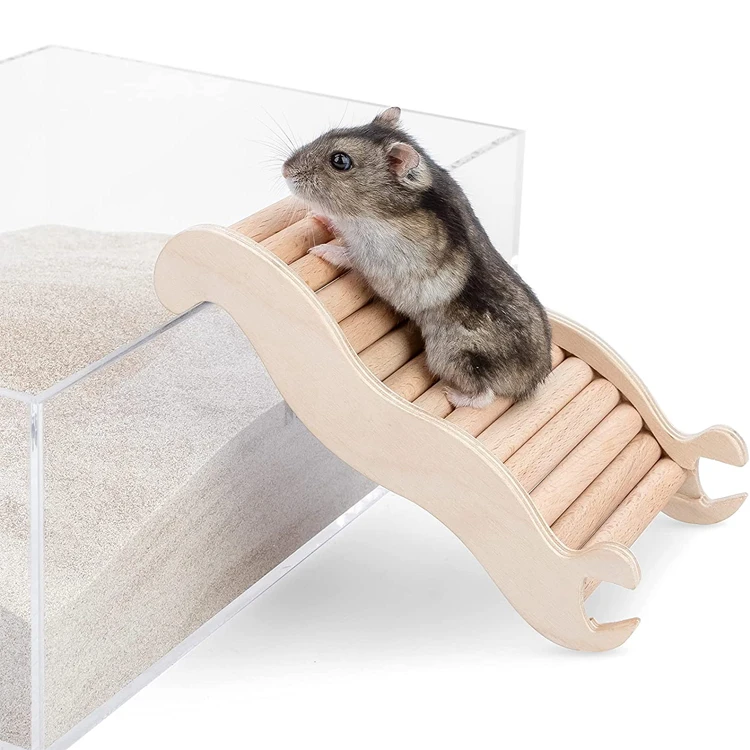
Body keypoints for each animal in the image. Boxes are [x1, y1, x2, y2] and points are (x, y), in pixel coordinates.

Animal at [282, 107, 552, 408]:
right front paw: (319, 217)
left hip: (452, 354)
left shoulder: (378, 259)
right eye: (329, 133)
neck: (376, 211)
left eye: (340, 161)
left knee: (485, 395)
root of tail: (532, 382)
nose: (284, 169)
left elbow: (349, 256)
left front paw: (318, 250)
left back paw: (452, 395)